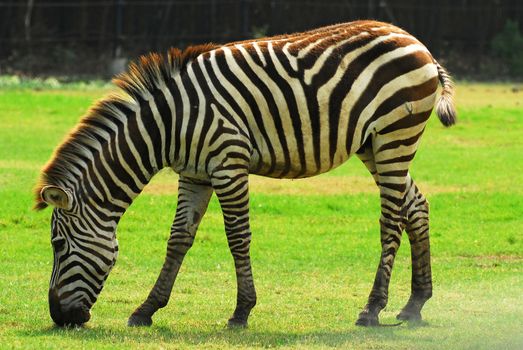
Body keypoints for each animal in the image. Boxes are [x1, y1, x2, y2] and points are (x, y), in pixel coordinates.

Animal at [34, 19, 456, 328]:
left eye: (57, 245)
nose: (60, 318)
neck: (168, 125)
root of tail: (415, 41)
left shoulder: (228, 163)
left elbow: (238, 238)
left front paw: (241, 311)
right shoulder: (194, 174)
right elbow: (178, 239)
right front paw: (146, 309)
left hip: (394, 135)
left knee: (392, 219)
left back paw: (372, 309)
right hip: (374, 145)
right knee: (416, 206)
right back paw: (415, 304)